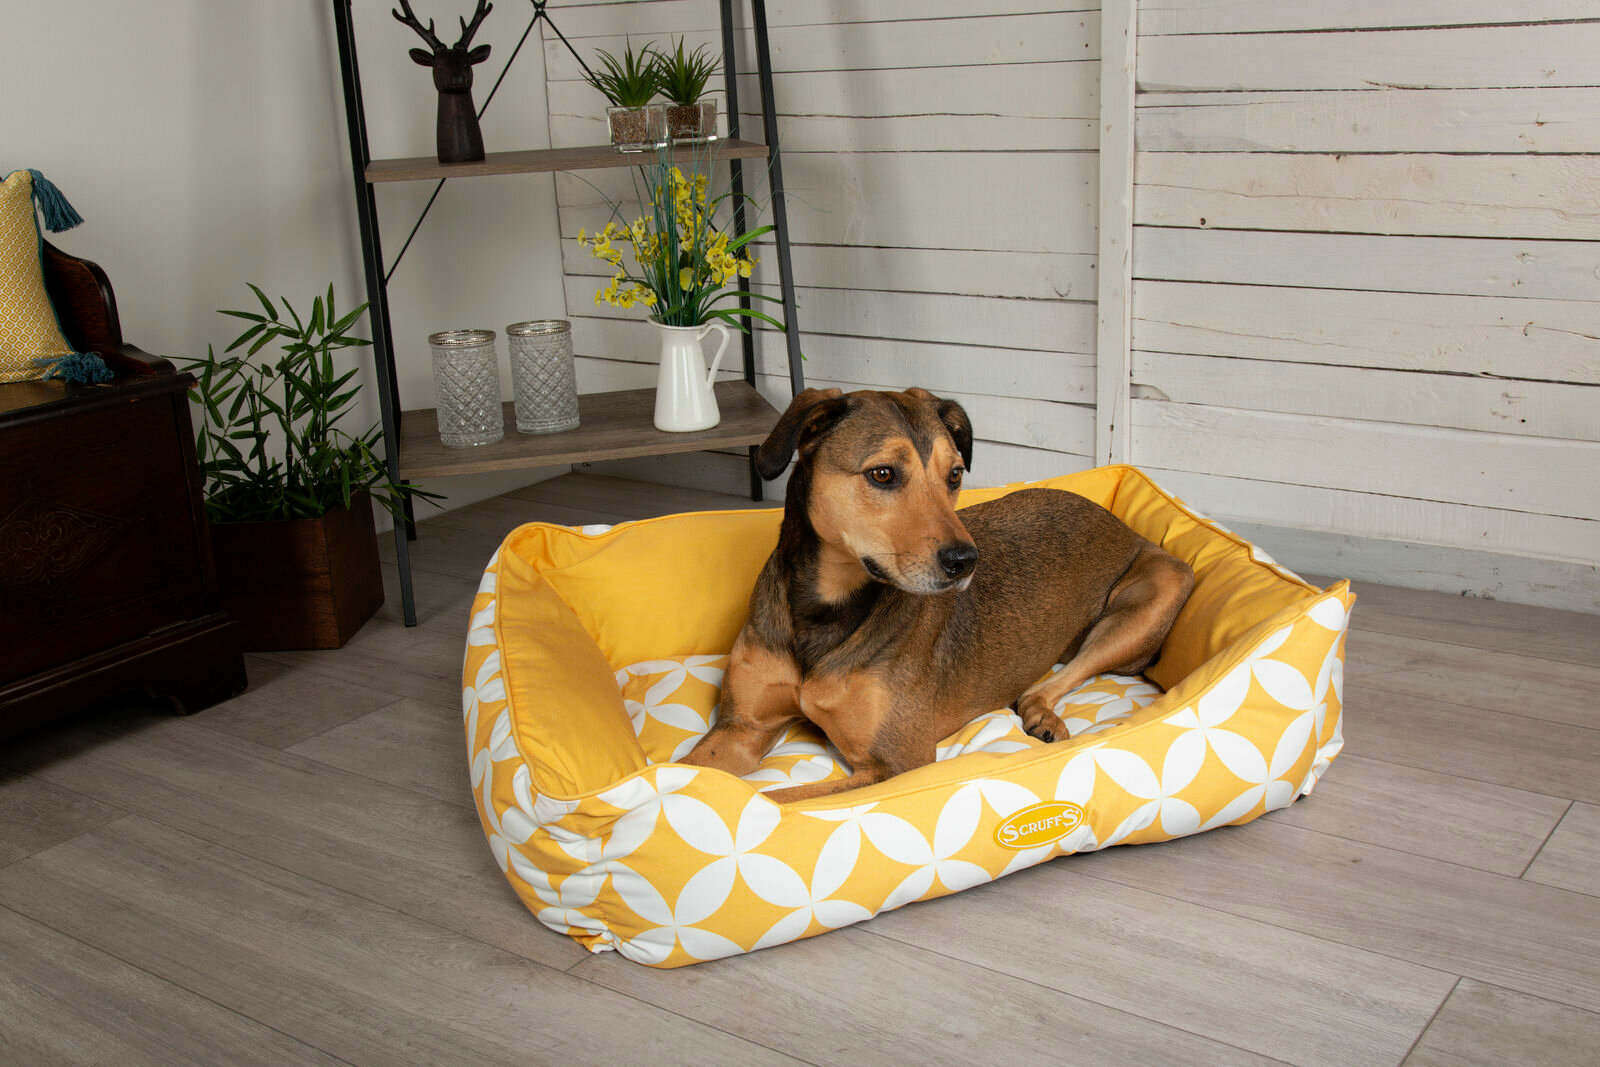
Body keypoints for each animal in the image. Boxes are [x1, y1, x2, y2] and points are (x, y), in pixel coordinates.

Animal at [681, 387, 1194, 803]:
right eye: (882, 474)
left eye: (955, 475)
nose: (966, 561)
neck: (826, 609)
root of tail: (1123, 525)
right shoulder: (741, 727)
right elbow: (684, 773)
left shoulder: (896, 765)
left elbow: (775, 799)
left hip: (1163, 586)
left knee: (1049, 684)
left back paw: (1043, 715)